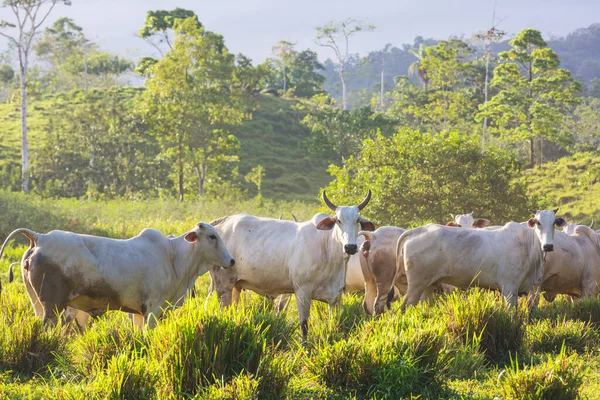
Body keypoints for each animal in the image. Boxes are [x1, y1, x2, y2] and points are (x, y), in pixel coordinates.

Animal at [0, 223, 234, 326]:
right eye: (212, 236)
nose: (231, 260)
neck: (173, 256)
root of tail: (40, 237)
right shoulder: (152, 309)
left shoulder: (139, 312)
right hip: (53, 307)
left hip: (37, 303)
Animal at [209, 191, 372, 338]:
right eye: (338, 220)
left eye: (357, 220)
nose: (350, 247)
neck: (327, 248)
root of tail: (221, 222)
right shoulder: (302, 292)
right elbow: (304, 326)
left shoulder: (336, 297)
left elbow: (335, 324)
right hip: (223, 285)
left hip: (235, 286)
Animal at [396, 211, 564, 310]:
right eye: (538, 222)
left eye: (554, 223)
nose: (548, 246)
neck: (528, 244)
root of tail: (416, 231)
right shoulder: (509, 288)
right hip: (416, 286)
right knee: (404, 307)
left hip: (428, 286)